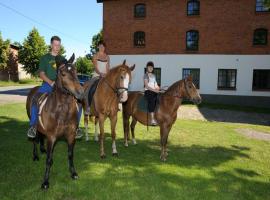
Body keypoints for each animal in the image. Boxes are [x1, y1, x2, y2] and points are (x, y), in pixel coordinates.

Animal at [26, 53, 84, 189]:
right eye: (63, 74)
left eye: (75, 71)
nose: (81, 93)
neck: (62, 111)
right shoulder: (52, 137)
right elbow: (49, 159)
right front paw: (45, 182)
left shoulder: (71, 136)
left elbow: (70, 155)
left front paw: (73, 173)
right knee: (35, 139)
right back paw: (36, 155)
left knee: (41, 136)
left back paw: (42, 149)